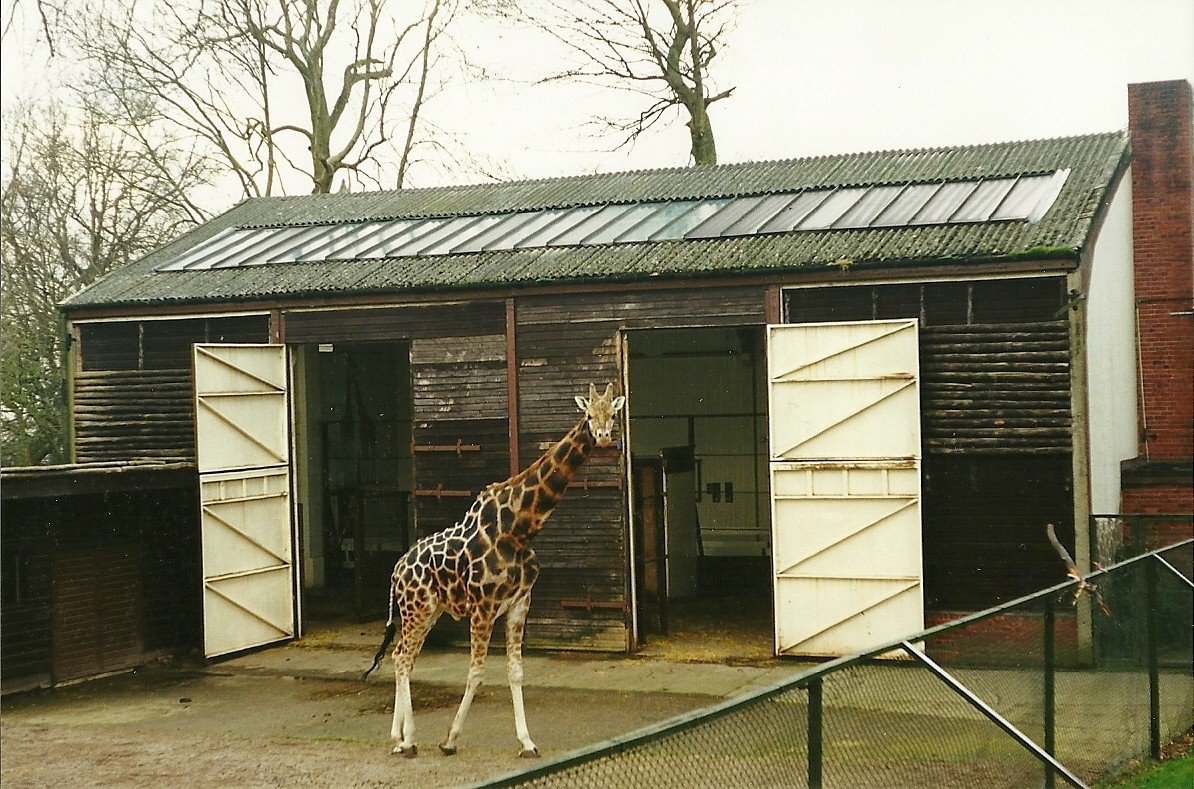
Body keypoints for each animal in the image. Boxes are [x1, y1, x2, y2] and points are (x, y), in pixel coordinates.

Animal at [364, 383, 626, 758]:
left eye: (613, 414)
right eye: (589, 414)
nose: (604, 437)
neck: (518, 528)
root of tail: (396, 571)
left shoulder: (519, 604)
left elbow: (516, 672)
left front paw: (527, 742)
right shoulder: (483, 607)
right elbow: (476, 672)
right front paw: (450, 740)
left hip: (428, 612)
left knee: (403, 656)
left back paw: (397, 738)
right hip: (418, 609)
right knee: (401, 659)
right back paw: (409, 739)